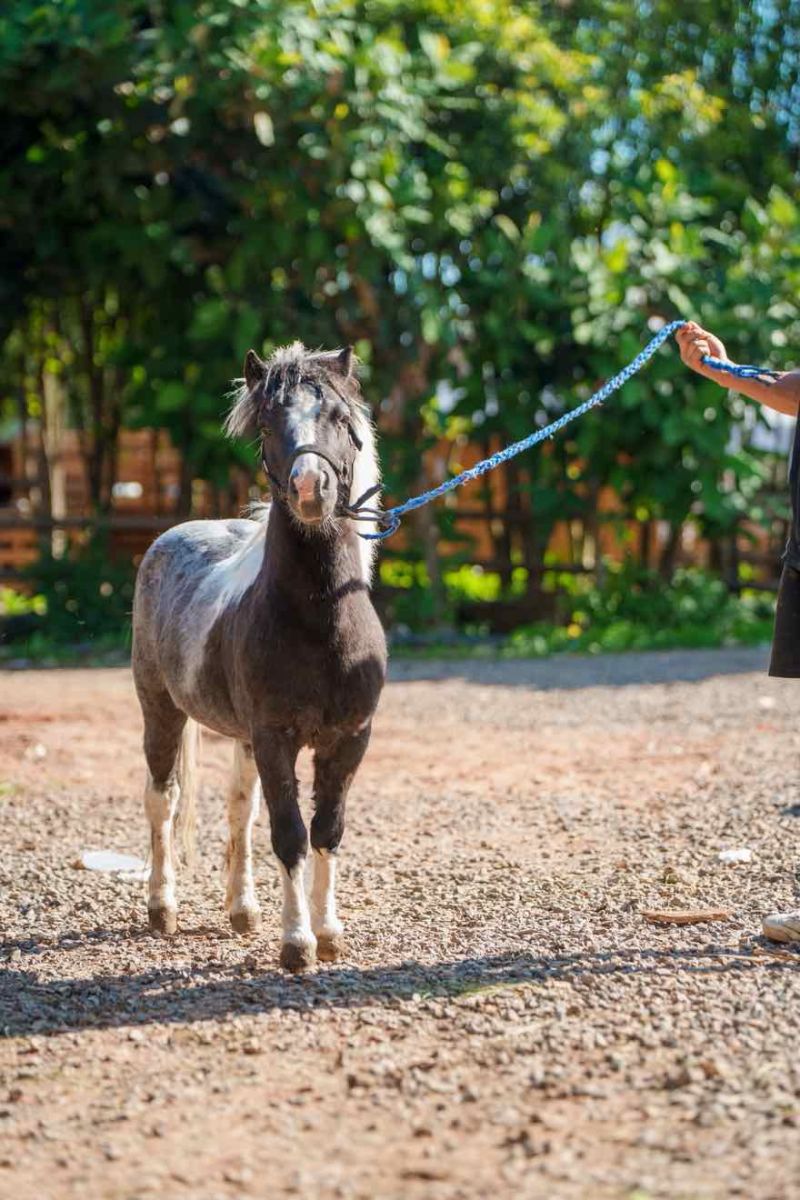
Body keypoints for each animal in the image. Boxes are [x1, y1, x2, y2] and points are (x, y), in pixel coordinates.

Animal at [131, 343, 387, 971]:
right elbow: (290, 833)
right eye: (269, 426)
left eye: (340, 419)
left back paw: (241, 911)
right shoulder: (275, 737)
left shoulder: (349, 739)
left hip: (243, 739)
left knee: (238, 808)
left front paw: (328, 933)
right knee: (162, 800)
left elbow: (325, 829)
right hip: (160, 710)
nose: (310, 488)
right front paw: (297, 943)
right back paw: (162, 909)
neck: (320, 624)